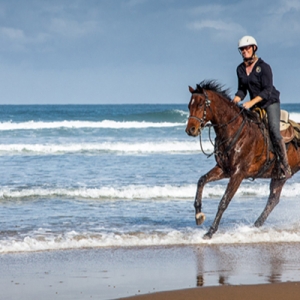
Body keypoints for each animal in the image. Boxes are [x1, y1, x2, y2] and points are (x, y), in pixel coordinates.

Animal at [185, 79, 300, 239]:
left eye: (201, 105)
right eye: (189, 106)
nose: (190, 130)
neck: (234, 130)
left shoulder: (238, 174)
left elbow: (224, 201)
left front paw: (210, 231)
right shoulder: (224, 169)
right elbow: (202, 180)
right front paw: (199, 216)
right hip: (278, 177)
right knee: (273, 200)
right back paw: (255, 226)